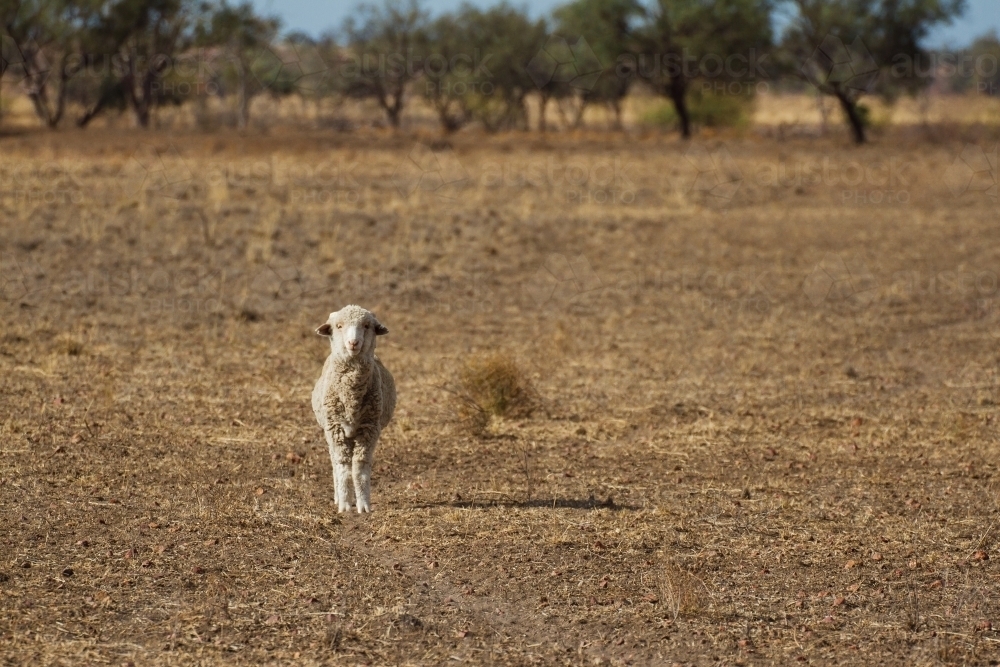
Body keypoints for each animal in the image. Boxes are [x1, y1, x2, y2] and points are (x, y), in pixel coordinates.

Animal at [310, 306, 396, 516]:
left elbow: (360, 468)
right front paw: (344, 504)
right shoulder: (335, 429)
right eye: (339, 326)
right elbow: (343, 468)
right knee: (335, 462)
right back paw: (338, 496)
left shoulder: (369, 429)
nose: (353, 343)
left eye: (366, 326)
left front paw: (363, 505)